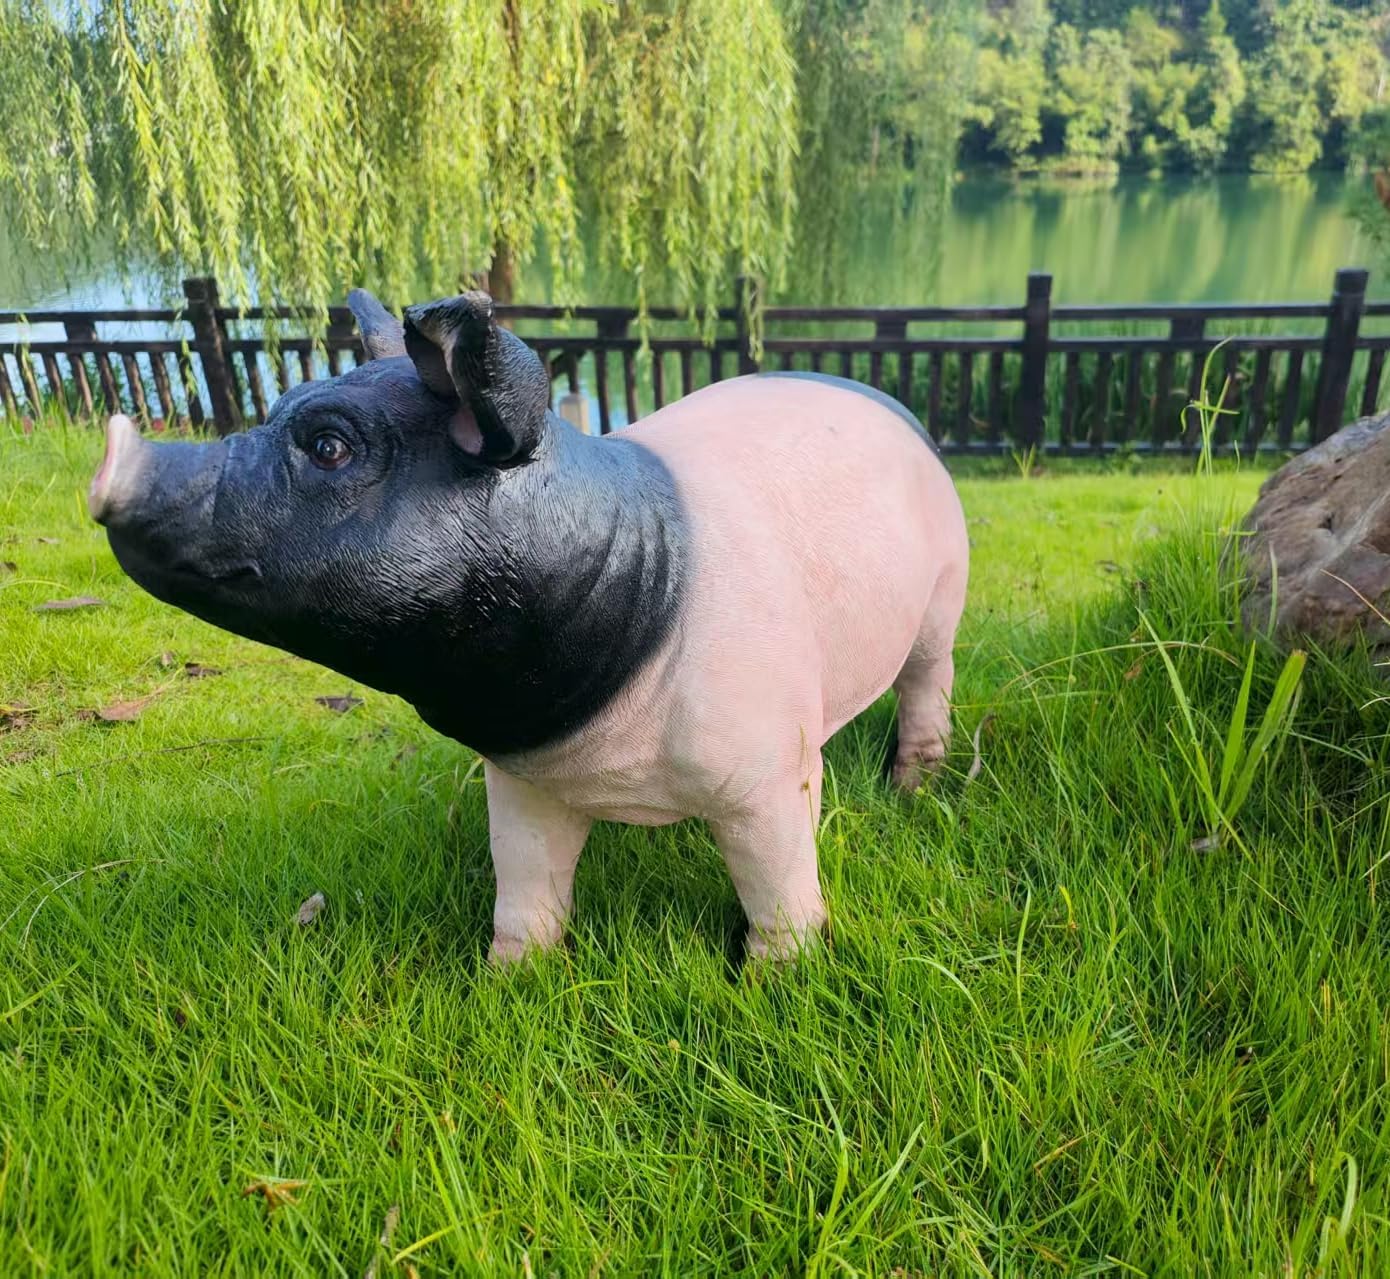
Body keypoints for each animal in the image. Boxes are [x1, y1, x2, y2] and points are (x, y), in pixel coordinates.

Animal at [88, 289, 968, 962]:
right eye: (276, 411)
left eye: (330, 445)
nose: (114, 450)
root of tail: (886, 402)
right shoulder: (518, 779)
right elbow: (524, 881)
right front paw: (508, 976)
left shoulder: (763, 771)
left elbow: (776, 878)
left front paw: (775, 976)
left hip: (946, 591)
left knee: (928, 678)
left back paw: (913, 786)